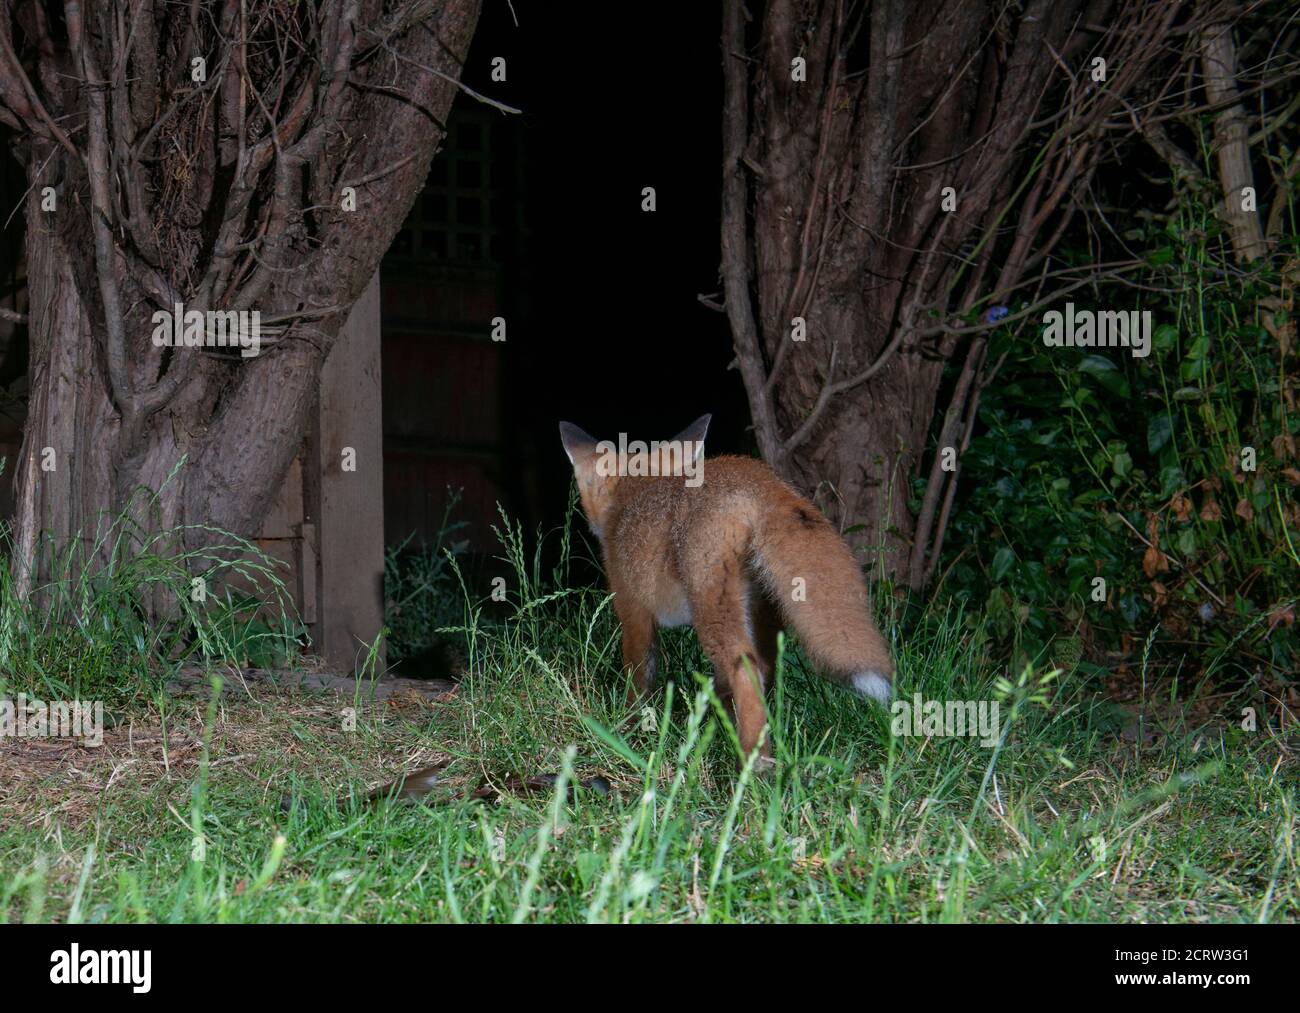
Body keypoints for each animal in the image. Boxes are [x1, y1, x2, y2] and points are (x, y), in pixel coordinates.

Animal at [559, 410, 894, 759]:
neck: (632, 490)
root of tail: (759, 480)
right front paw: (716, 724)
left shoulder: (632, 608)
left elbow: (639, 676)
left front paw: (628, 728)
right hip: (761, 609)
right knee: (763, 669)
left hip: (711, 606)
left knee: (745, 669)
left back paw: (753, 762)